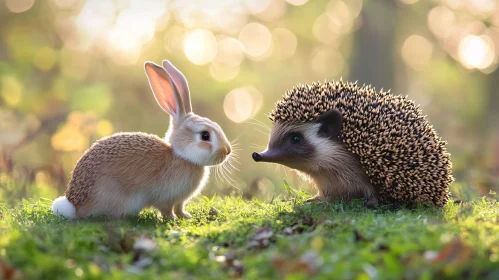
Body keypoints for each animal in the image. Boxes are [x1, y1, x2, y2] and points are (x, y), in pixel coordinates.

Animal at [51, 60, 235, 220]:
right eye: (205, 135)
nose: (227, 151)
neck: (181, 156)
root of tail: (75, 206)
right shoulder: (165, 198)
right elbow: (167, 209)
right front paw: (173, 219)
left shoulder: (179, 200)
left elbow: (180, 207)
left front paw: (185, 216)